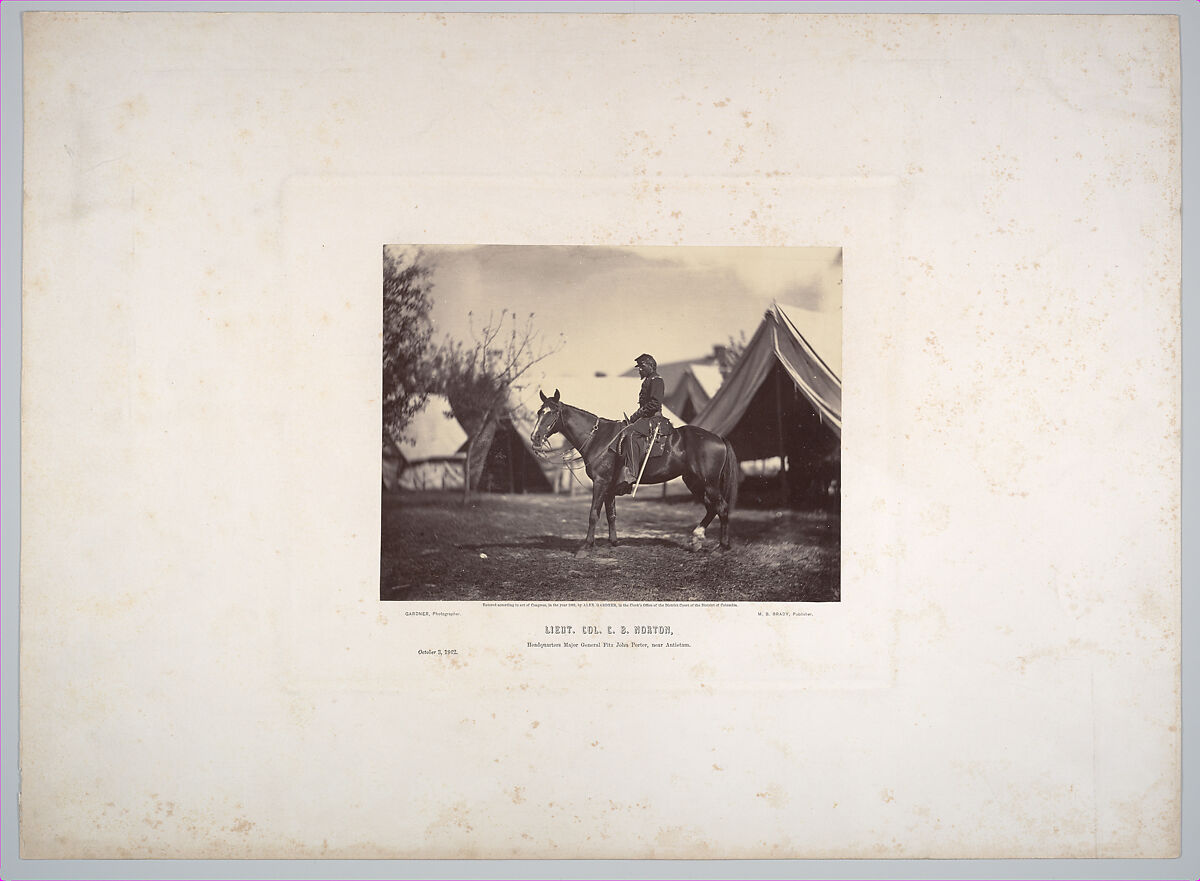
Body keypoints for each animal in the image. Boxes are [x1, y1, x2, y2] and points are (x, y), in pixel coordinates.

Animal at [530, 388, 734, 554]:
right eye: (540, 412)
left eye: (552, 412)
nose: (535, 437)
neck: (599, 438)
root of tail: (718, 438)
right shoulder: (609, 487)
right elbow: (611, 514)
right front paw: (613, 542)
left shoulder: (600, 483)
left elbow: (593, 514)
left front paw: (586, 546)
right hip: (694, 482)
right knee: (711, 507)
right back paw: (696, 539)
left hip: (709, 484)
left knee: (722, 508)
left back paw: (722, 546)